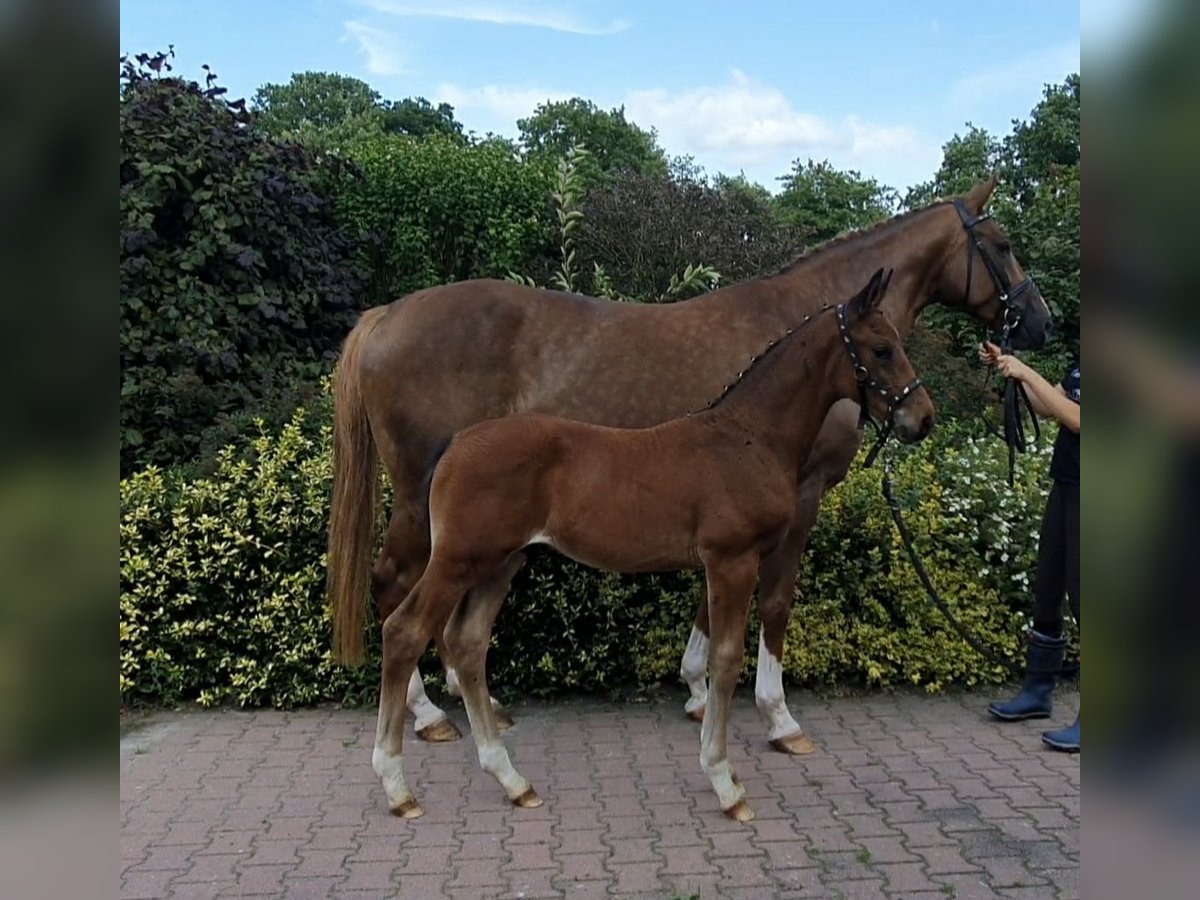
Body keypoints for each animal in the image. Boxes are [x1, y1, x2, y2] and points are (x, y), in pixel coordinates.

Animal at [331, 177, 1051, 753]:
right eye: (1004, 243)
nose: (1041, 323)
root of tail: (386, 315)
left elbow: (712, 598)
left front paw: (699, 689)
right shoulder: (804, 494)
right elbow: (777, 597)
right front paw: (777, 715)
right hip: (420, 494)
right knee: (396, 584)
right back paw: (427, 714)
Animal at [369, 267, 931, 825]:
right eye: (882, 349)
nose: (922, 418)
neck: (747, 437)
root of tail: (455, 447)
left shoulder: (723, 564)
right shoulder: (732, 560)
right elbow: (727, 659)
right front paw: (725, 782)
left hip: (500, 564)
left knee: (467, 643)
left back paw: (511, 779)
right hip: (458, 560)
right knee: (404, 630)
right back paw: (398, 785)